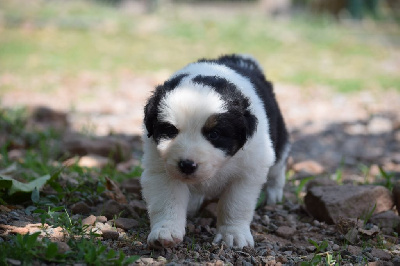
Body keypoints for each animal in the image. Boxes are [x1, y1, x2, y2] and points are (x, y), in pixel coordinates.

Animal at [141, 54, 290, 249]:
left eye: (214, 134)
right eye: (171, 131)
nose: (187, 165)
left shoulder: (248, 170)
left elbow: (235, 204)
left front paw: (234, 234)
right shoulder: (161, 168)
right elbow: (167, 201)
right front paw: (165, 232)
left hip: (277, 141)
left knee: (278, 167)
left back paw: (274, 194)